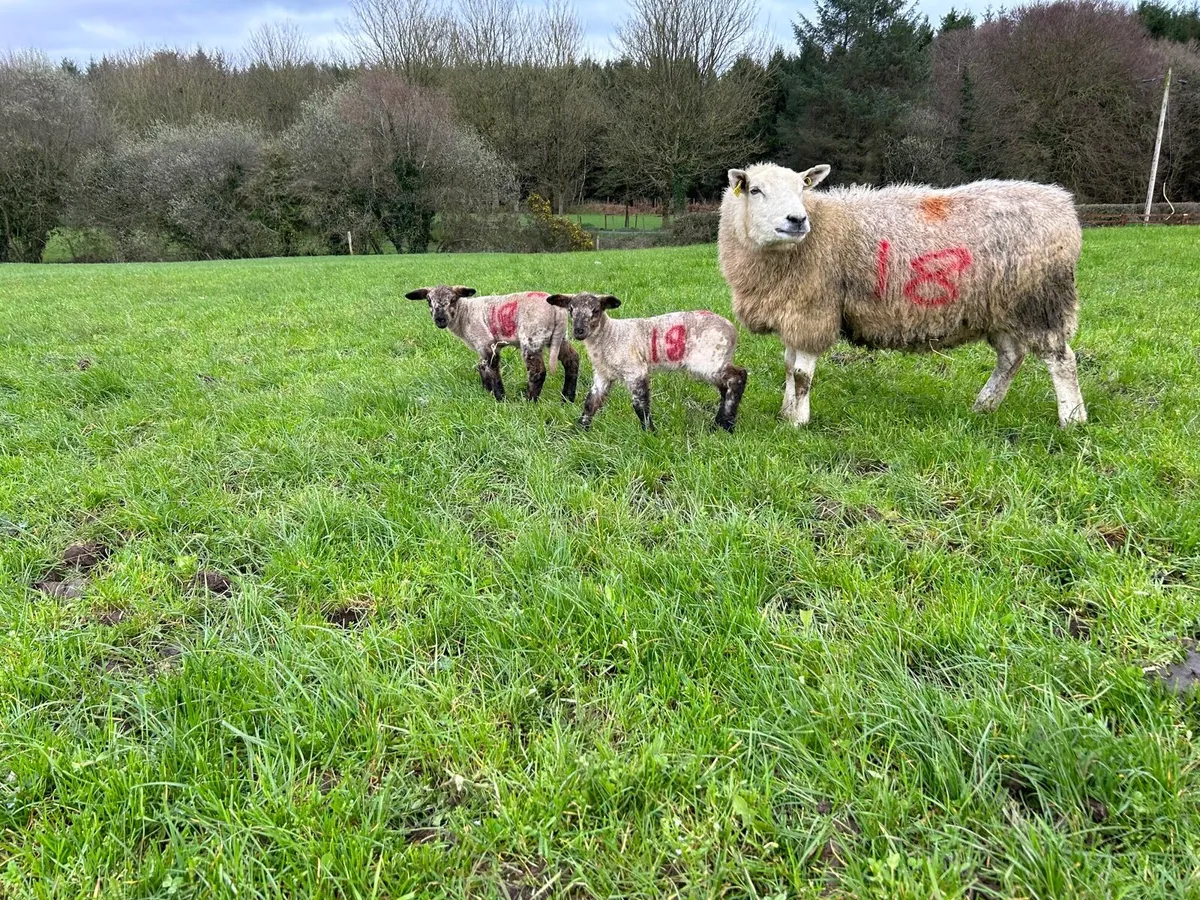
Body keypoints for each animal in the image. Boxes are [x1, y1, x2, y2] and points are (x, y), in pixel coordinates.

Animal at [405, 285, 579, 402]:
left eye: (453, 299)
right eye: (429, 301)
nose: (440, 319)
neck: (464, 314)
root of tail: (557, 311)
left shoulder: (485, 342)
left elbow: (492, 369)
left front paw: (500, 398)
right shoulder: (481, 347)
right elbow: (482, 367)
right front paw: (486, 392)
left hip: (531, 337)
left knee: (537, 372)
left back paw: (530, 402)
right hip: (559, 337)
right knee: (572, 360)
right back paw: (567, 398)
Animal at [545, 292, 747, 432]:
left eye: (596, 311)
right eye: (571, 310)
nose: (578, 331)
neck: (610, 336)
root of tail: (731, 330)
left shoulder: (635, 370)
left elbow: (640, 404)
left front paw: (650, 432)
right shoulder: (602, 375)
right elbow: (590, 402)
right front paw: (580, 429)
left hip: (709, 359)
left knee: (739, 376)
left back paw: (727, 426)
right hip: (715, 360)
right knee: (725, 387)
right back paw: (719, 423)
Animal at [718, 162, 1088, 427]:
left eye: (802, 188)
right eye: (755, 190)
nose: (797, 219)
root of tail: (1063, 206)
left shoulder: (813, 308)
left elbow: (800, 374)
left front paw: (798, 422)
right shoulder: (792, 308)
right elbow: (788, 365)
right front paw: (785, 413)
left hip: (1041, 301)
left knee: (1061, 360)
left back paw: (1072, 419)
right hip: (1000, 308)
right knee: (1011, 358)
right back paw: (983, 406)